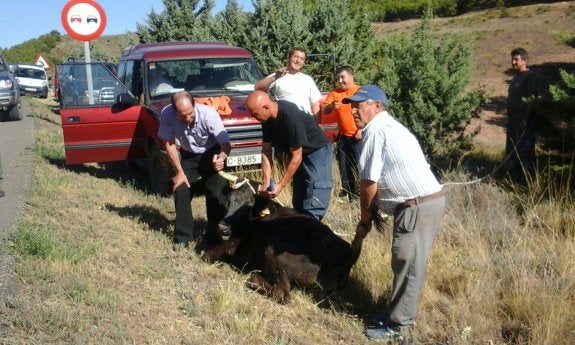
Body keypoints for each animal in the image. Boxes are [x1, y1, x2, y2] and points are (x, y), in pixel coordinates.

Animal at [202, 177, 382, 304]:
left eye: (249, 205)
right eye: (229, 200)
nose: (222, 227)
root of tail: (346, 254)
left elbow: (211, 253)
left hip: (273, 254)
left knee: (282, 293)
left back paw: (255, 279)